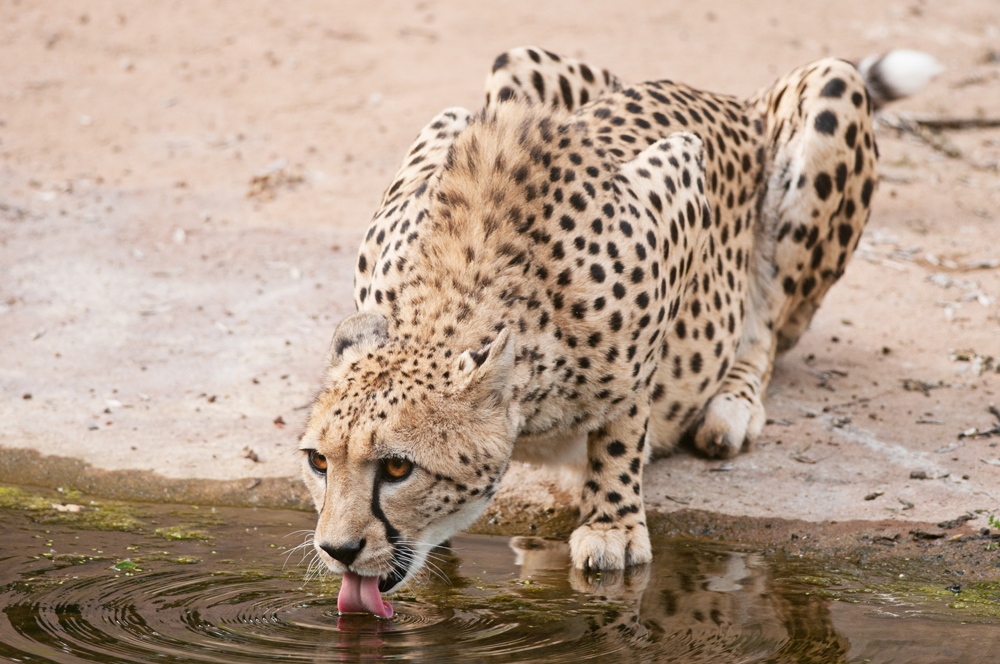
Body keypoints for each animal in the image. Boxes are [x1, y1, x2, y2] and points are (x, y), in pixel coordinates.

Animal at [298, 48, 920, 616]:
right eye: (319, 462)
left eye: (398, 467)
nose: (337, 550)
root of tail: (733, 99)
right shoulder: (447, 128)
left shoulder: (679, 181)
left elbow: (628, 406)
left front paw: (613, 523)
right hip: (516, 63)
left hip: (833, 90)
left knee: (769, 322)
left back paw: (731, 407)